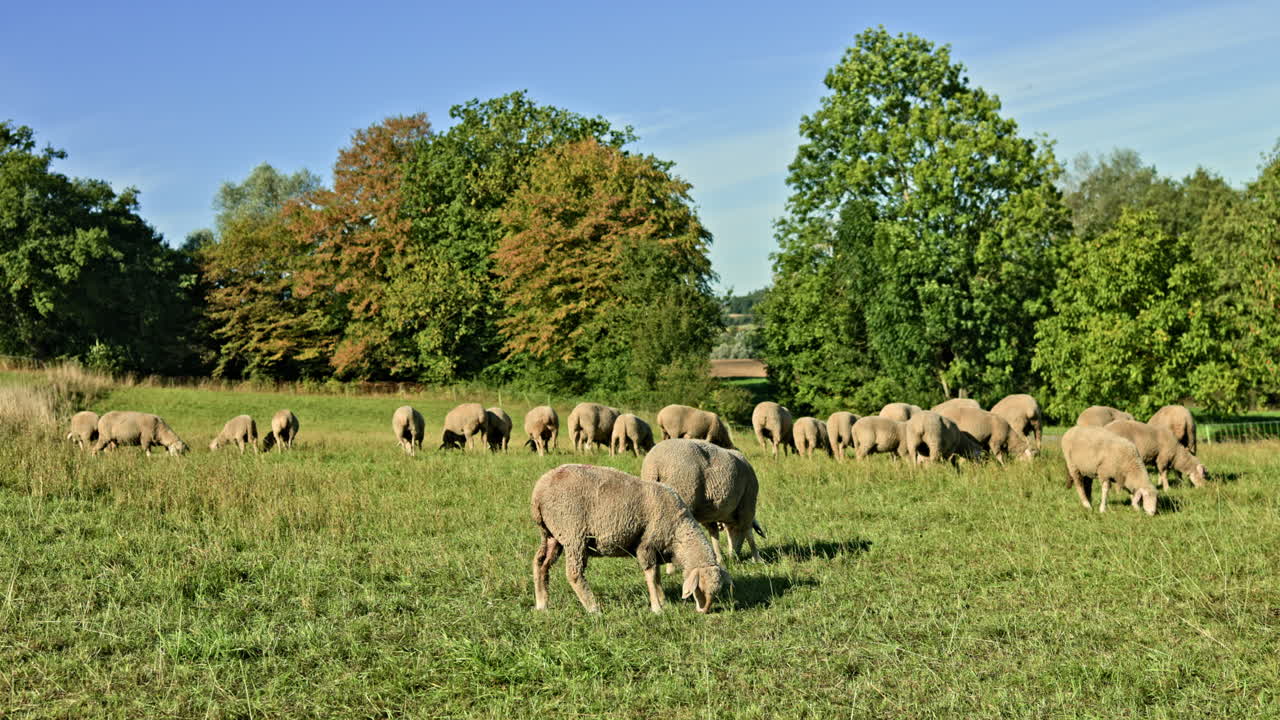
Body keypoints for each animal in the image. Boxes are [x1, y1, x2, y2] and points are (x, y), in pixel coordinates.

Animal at [531, 464, 731, 614]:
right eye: (700, 587)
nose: (704, 611)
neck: (678, 531)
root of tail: (538, 493)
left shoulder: (656, 549)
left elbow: (657, 575)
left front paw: (663, 600)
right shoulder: (646, 545)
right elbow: (651, 575)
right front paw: (657, 608)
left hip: (552, 535)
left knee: (541, 563)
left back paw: (542, 604)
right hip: (573, 533)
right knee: (574, 573)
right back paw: (593, 608)